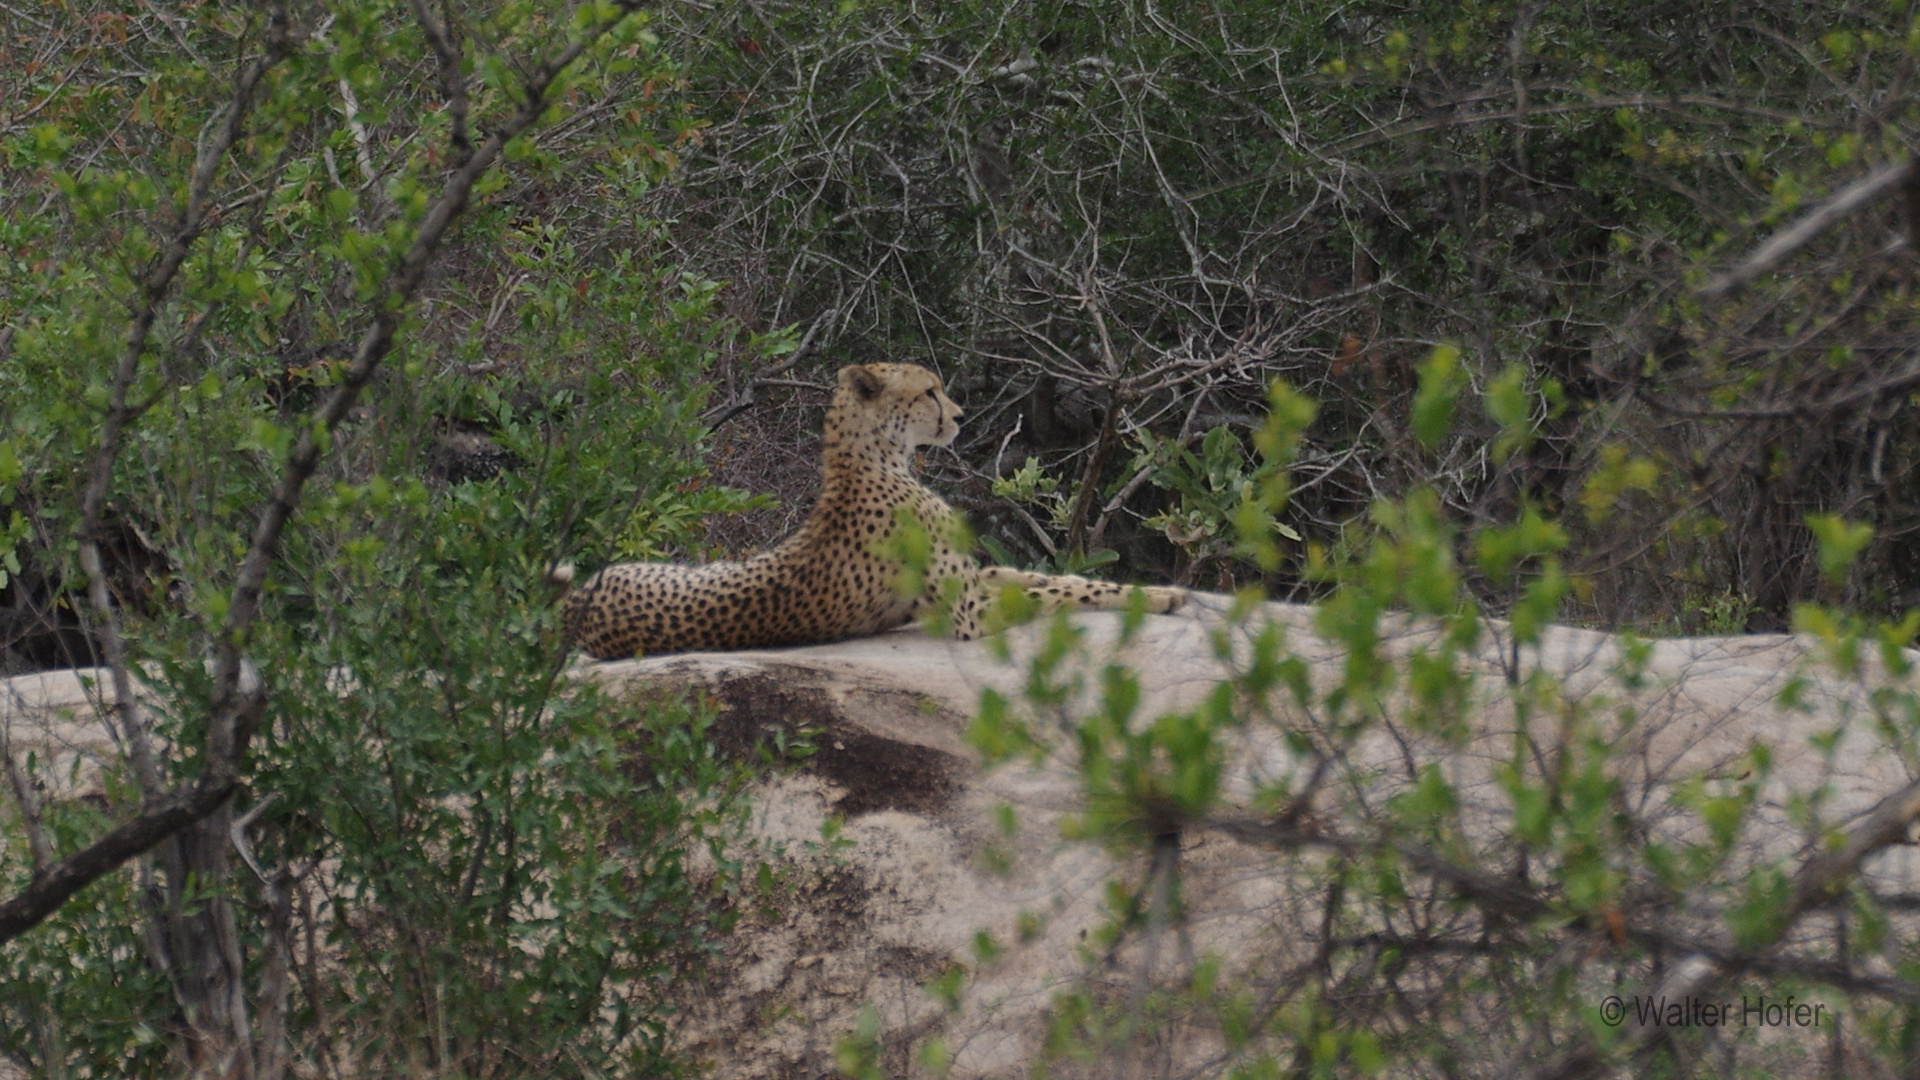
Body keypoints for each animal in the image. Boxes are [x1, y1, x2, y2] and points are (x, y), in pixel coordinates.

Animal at [552, 359, 1182, 657]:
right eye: (929, 391)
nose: (960, 417)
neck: (880, 459)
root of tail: (574, 607)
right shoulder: (969, 611)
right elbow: (1062, 592)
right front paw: (1157, 597)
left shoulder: (976, 577)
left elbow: (1055, 579)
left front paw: (1152, 590)